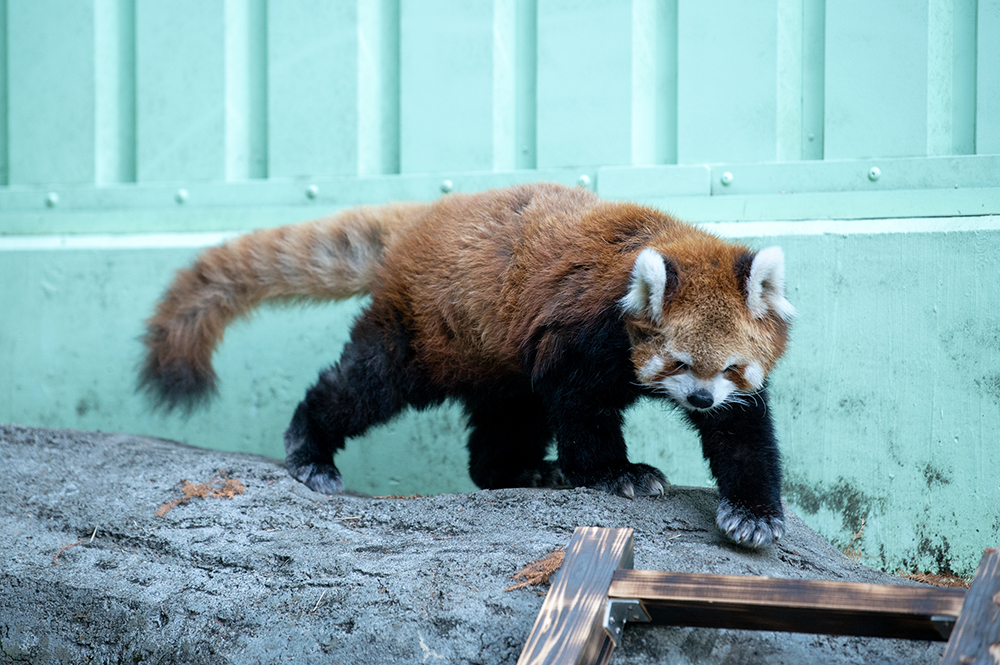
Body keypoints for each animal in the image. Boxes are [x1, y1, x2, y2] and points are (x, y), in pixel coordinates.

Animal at [143, 180, 796, 544]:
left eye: (729, 368)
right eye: (678, 362)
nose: (700, 400)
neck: (662, 238)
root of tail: (422, 217)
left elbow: (743, 436)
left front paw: (754, 514)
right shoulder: (585, 337)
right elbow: (582, 412)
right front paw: (619, 473)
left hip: (495, 357)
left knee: (508, 418)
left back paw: (520, 472)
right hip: (422, 332)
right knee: (366, 385)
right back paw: (309, 450)